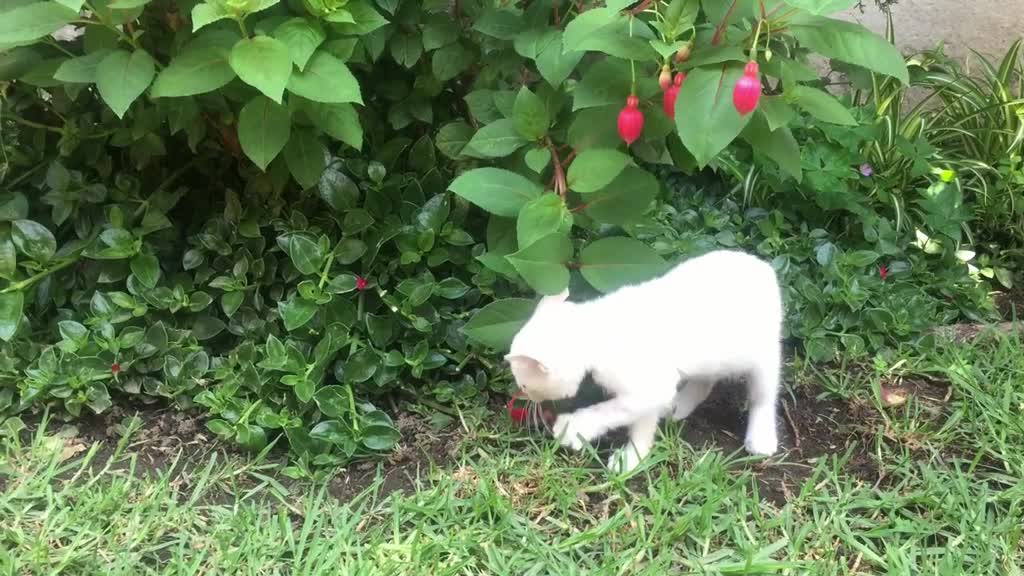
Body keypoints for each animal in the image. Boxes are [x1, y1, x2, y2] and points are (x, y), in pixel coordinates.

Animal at [505, 249, 782, 469]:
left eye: (525, 384)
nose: (525, 396)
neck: (598, 329)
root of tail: (764, 267)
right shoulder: (652, 389)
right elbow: (643, 422)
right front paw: (634, 458)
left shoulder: (648, 387)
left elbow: (612, 410)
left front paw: (574, 428)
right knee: (705, 381)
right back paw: (679, 405)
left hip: (765, 354)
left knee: (763, 396)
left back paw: (761, 437)